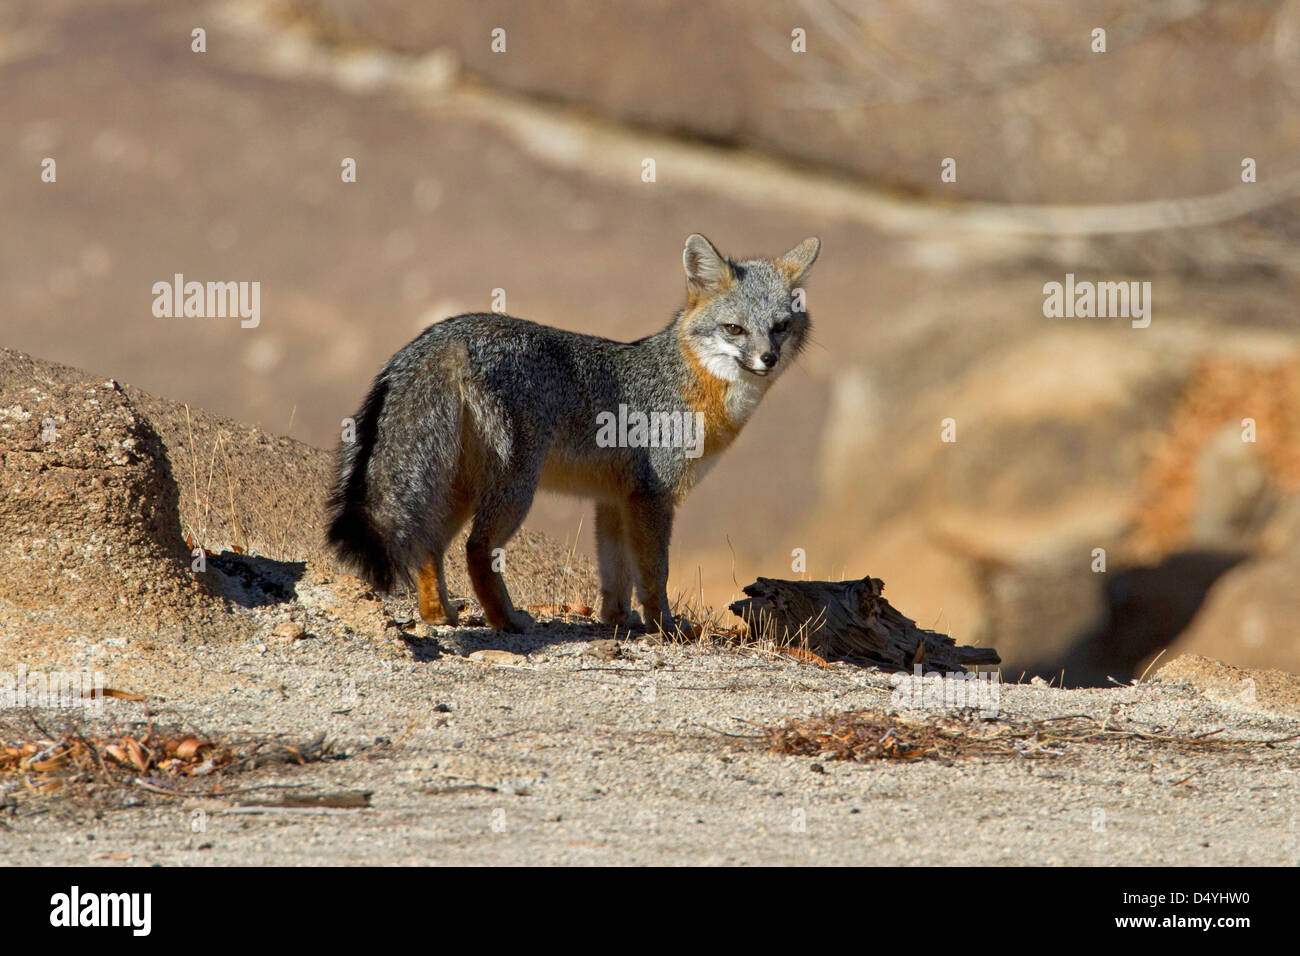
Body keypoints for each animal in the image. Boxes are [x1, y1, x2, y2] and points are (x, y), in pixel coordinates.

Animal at [325, 234, 816, 634]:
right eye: (734, 329)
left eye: (780, 327)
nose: (768, 358)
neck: (689, 382)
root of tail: (450, 332)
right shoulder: (652, 497)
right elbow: (654, 574)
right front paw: (665, 628)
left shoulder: (614, 500)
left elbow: (615, 574)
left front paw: (618, 621)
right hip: (515, 487)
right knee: (477, 550)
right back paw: (506, 621)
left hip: (459, 485)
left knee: (429, 544)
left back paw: (438, 614)